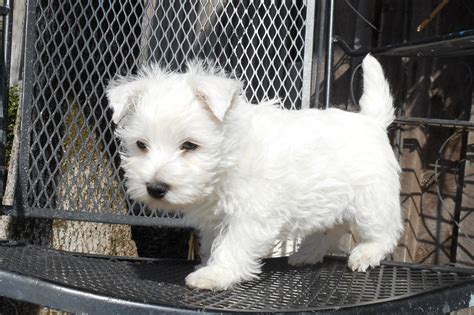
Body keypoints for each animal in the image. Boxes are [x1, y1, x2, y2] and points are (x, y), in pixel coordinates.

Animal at [108, 54, 404, 292]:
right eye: (141, 145)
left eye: (190, 145)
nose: (155, 188)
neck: (227, 157)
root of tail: (372, 121)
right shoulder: (217, 218)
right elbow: (214, 242)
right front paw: (207, 265)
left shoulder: (250, 215)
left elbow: (232, 245)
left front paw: (215, 274)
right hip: (328, 200)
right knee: (329, 228)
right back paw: (307, 254)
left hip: (370, 200)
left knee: (385, 232)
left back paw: (365, 254)